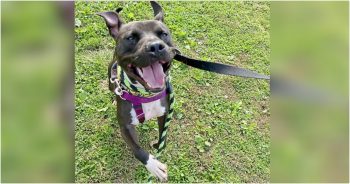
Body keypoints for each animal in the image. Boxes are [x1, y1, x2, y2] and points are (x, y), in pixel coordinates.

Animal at [98, 1, 178, 181]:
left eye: (163, 34)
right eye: (130, 38)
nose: (155, 46)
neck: (144, 94)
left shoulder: (164, 114)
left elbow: (164, 137)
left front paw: (158, 146)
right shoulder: (125, 127)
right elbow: (137, 149)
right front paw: (154, 166)